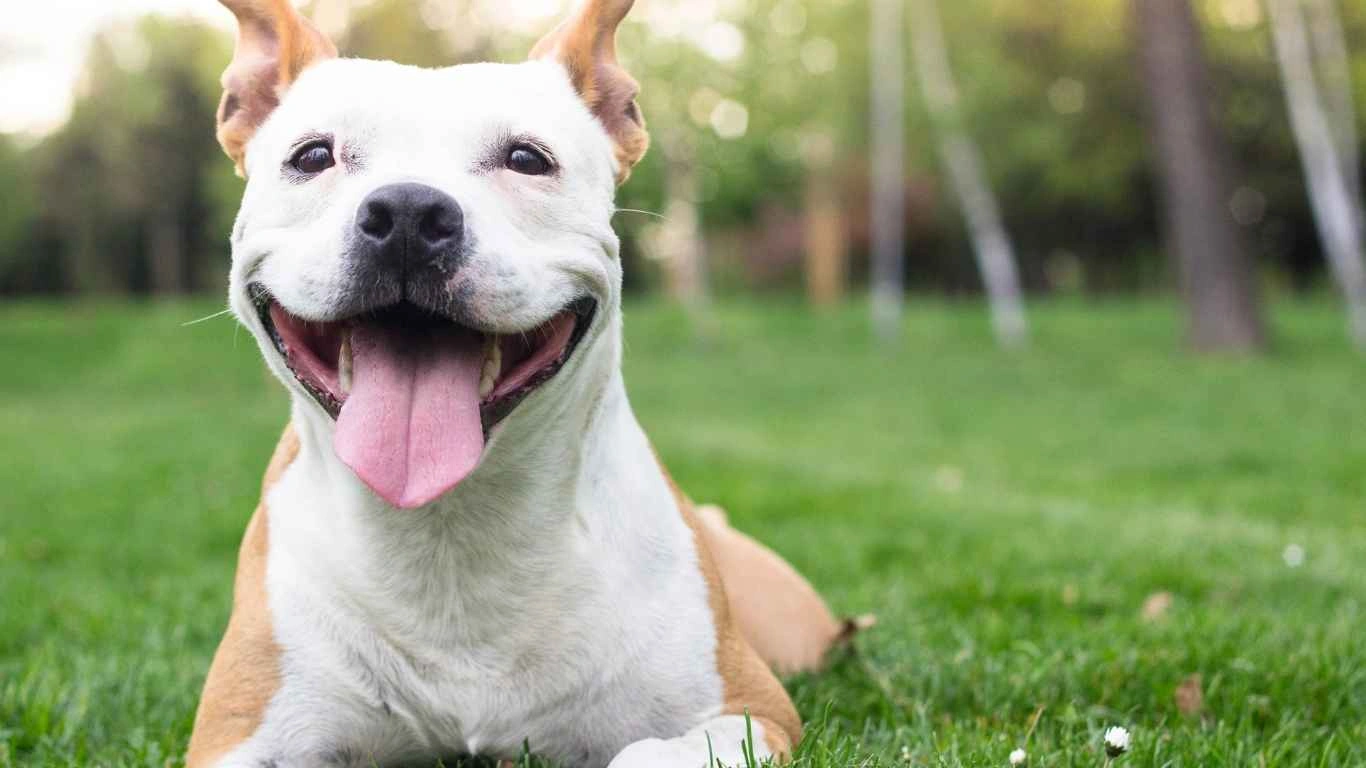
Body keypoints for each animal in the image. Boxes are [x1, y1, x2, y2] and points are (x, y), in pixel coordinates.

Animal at [188, 2, 863, 759]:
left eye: (525, 159)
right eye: (312, 157)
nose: (408, 213)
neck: (450, 530)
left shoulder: (750, 712)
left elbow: (643, 751)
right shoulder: (239, 738)